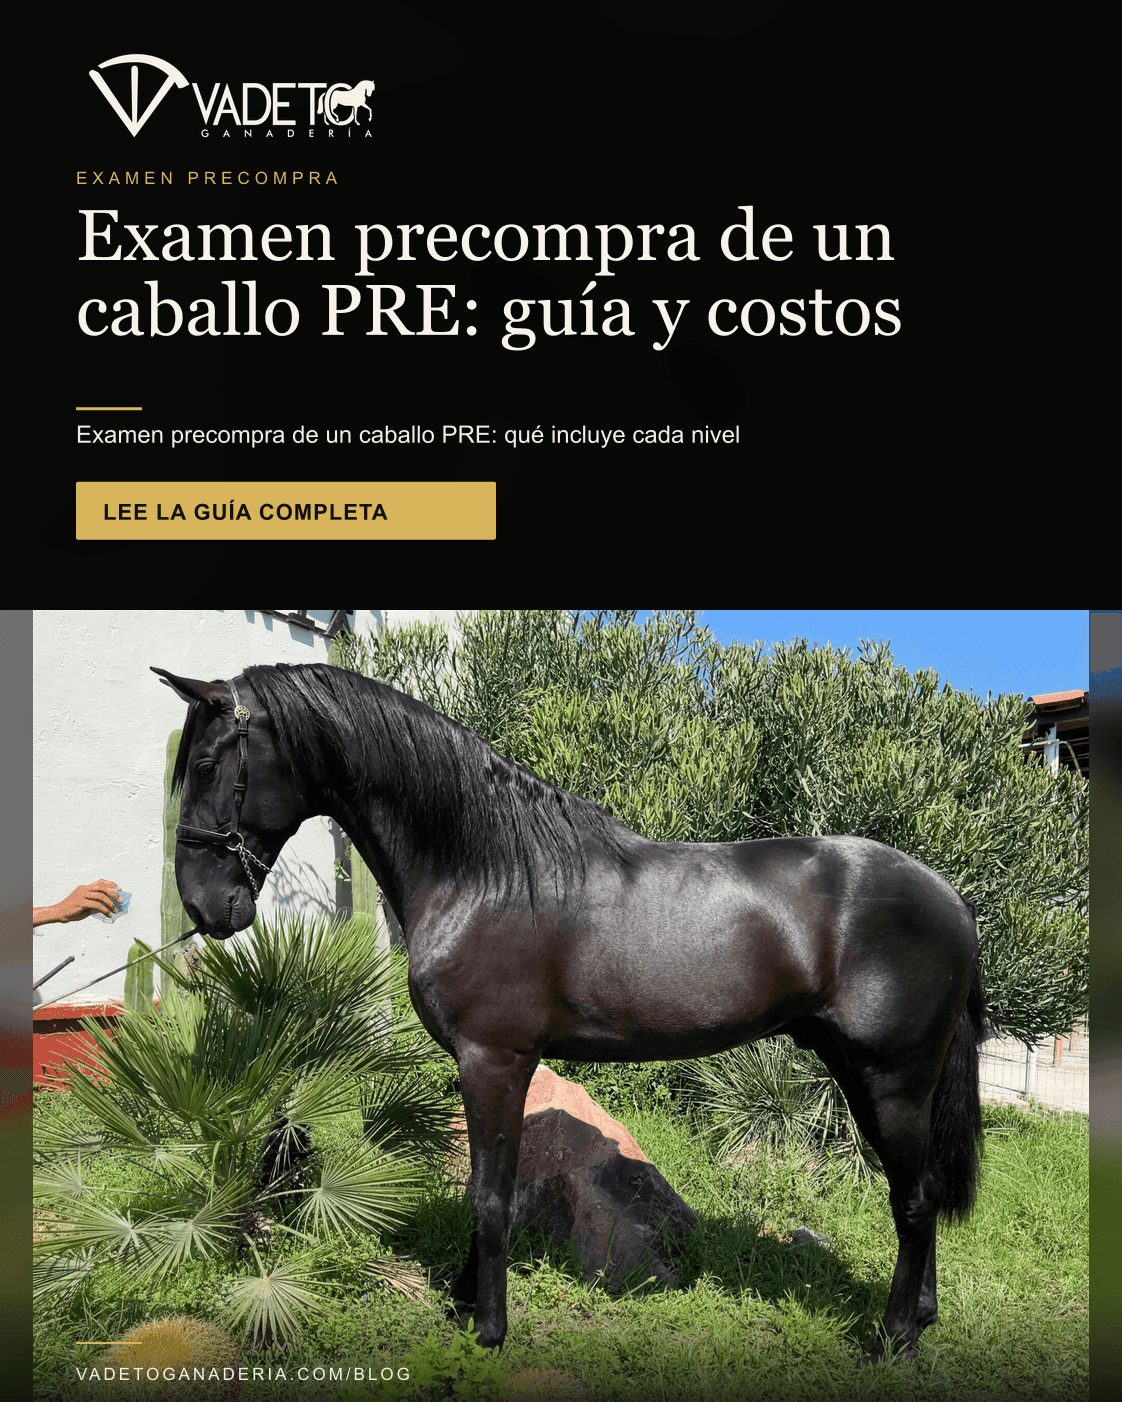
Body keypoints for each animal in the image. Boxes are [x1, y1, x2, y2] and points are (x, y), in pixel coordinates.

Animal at [153, 661, 986, 1364]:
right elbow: (490, 1183)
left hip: (891, 1078)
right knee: (922, 1195)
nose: (202, 905)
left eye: (206, 766)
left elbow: (490, 1195)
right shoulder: (502, 1065)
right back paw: (922, 1318)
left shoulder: (493, 1058)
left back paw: (892, 1341)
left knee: (914, 1201)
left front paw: (489, 1329)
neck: (483, 871)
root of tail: (949, 898)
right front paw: (465, 1302)